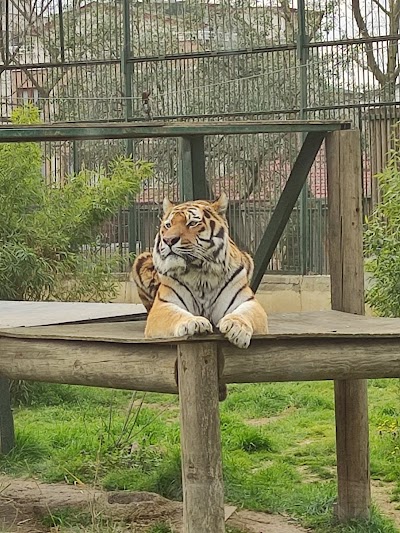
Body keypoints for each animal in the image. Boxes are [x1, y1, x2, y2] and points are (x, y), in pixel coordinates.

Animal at [132, 193, 268, 348]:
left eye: (192, 223)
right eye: (168, 225)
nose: (169, 240)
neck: (200, 272)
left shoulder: (248, 302)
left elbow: (244, 314)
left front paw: (236, 327)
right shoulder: (163, 305)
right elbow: (177, 314)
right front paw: (194, 322)